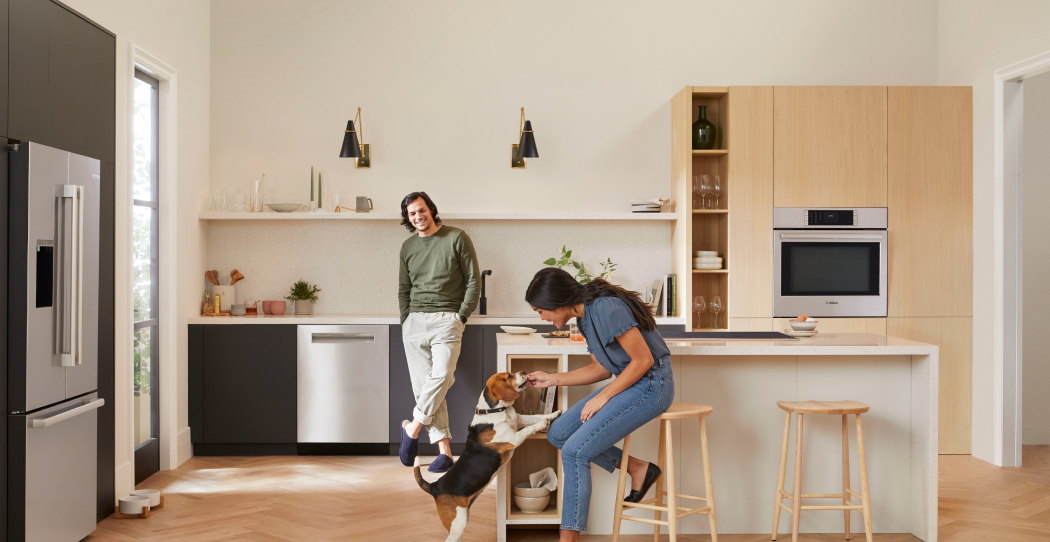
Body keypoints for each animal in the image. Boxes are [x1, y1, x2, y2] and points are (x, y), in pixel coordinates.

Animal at [411, 371, 562, 542]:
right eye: (508, 376)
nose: (524, 372)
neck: (495, 410)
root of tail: (435, 486)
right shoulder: (513, 439)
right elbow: (530, 427)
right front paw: (542, 423)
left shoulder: (520, 419)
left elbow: (535, 416)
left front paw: (554, 413)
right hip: (458, 523)